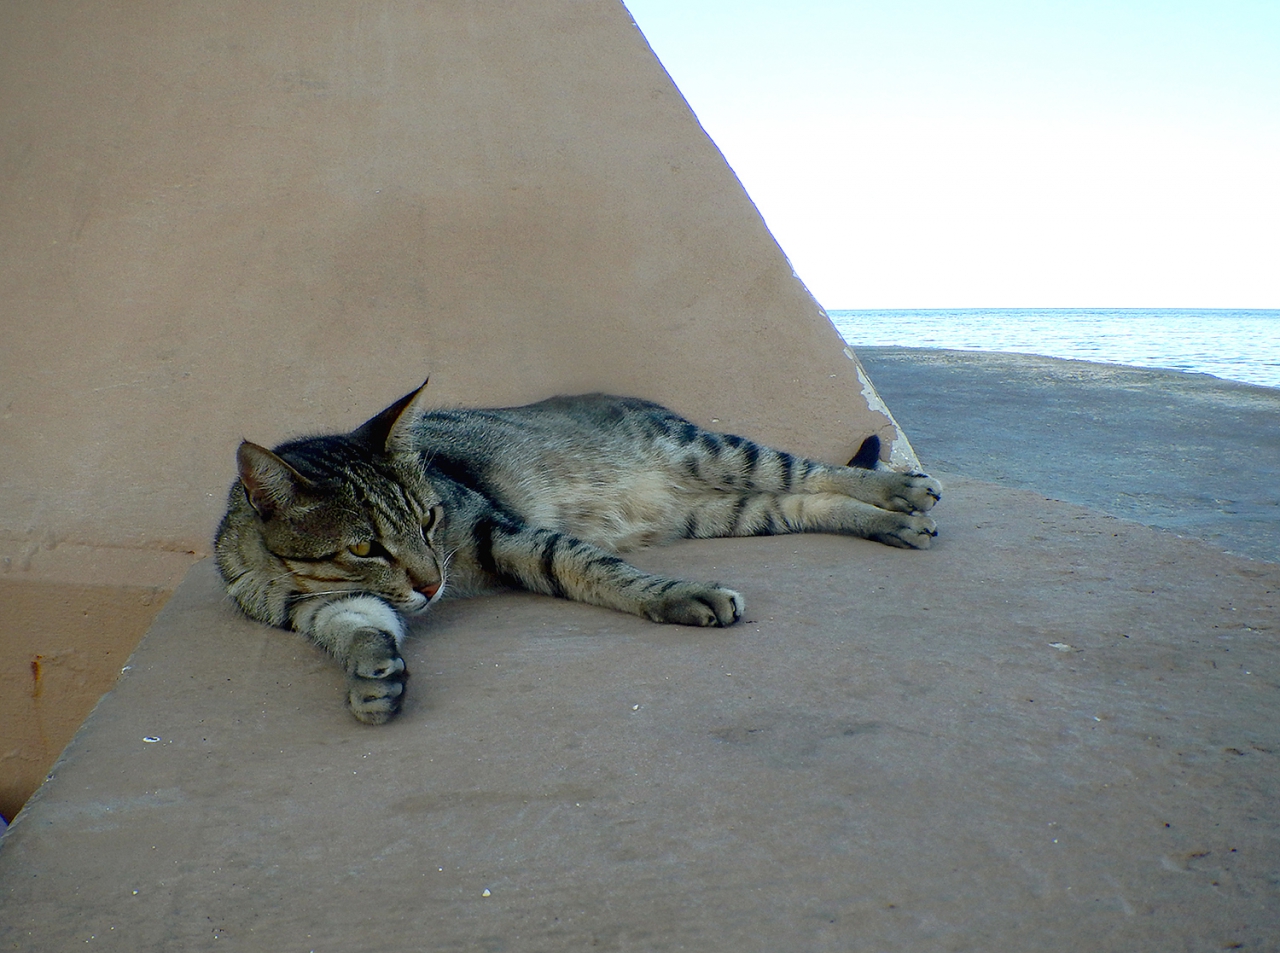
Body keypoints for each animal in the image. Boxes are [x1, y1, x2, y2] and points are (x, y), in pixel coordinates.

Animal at [217, 378, 942, 721]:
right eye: (366, 545)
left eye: (429, 519)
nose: (431, 585)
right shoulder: (328, 610)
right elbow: (361, 631)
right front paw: (374, 679)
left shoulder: (501, 533)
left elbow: (594, 567)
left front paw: (681, 595)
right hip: (724, 511)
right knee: (805, 503)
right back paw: (890, 523)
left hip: (716, 453)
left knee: (814, 470)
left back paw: (904, 490)